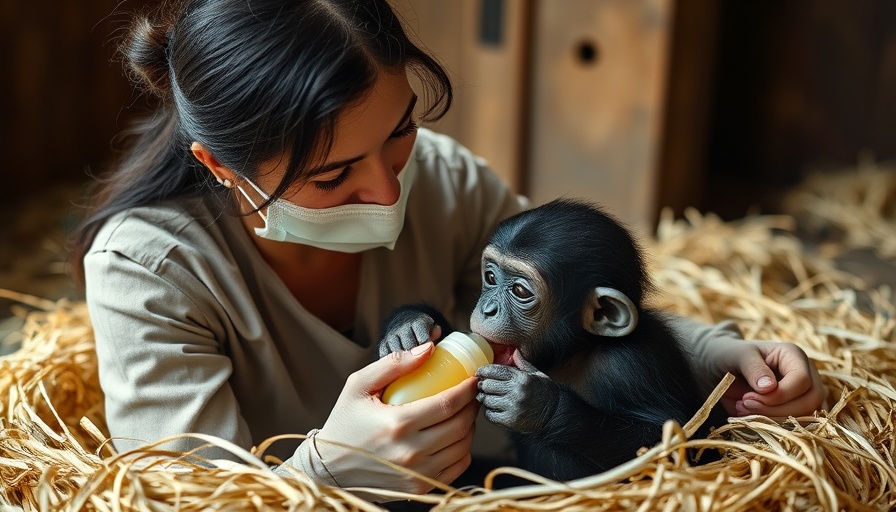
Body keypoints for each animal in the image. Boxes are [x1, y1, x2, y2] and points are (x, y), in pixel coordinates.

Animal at [378, 198, 727, 481]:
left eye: (520, 291)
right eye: (489, 277)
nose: (487, 308)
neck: (575, 351)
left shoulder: (632, 364)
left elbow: (666, 442)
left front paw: (533, 402)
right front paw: (409, 325)